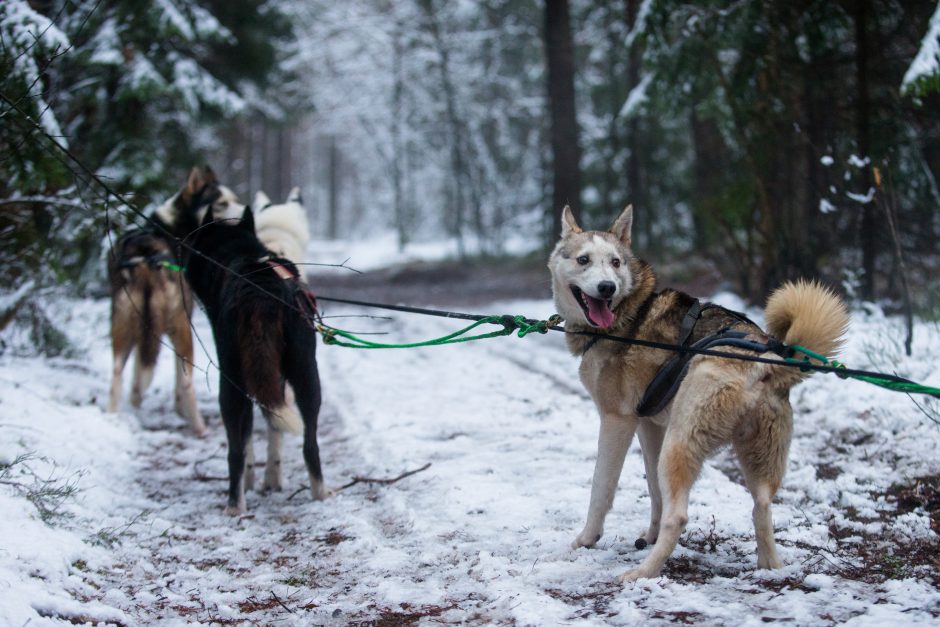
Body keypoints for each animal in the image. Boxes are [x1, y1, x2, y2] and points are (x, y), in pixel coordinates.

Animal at [158, 167, 326, 516]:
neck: (244, 255)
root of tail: (260, 290)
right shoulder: (275, 379)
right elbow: (274, 430)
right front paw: (271, 478)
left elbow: (248, 441)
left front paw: (254, 480)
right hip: (306, 374)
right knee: (310, 444)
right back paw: (320, 495)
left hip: (232, 380)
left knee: (235, 450)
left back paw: (235, 505)